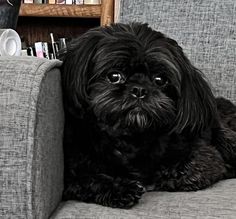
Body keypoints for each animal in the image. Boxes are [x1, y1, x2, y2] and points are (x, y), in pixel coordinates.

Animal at [60, 22, 236, 209]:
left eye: (160, 80)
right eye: (114, 76)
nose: (139, 90)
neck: (130, 139)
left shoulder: (204, 156)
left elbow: (184, 168)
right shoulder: (71, 169)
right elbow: (86, 178)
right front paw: (121, 188)